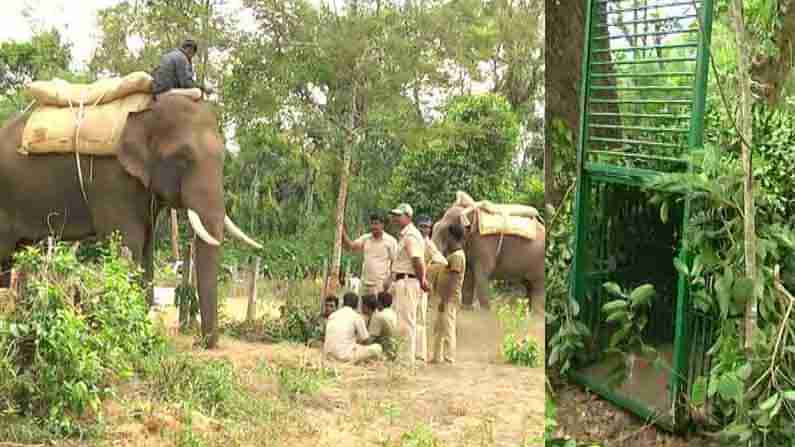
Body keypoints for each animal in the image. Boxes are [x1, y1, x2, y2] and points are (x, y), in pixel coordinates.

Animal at [0, 93, 262, 348]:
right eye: (182, 158)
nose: (202, 343)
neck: (147, 110)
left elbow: (146, 246)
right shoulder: (112, 179)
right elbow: (129, 242)